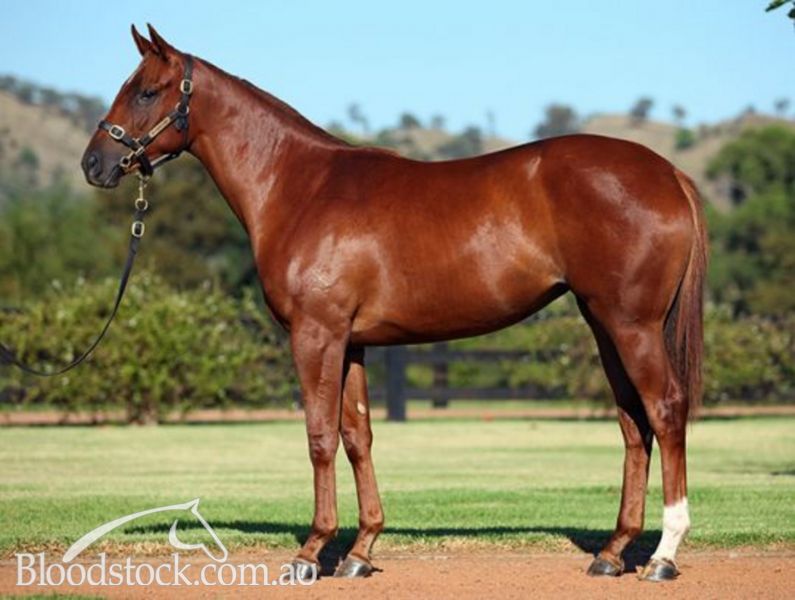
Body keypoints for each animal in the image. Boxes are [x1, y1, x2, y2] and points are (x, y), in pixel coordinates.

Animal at [81, 24, 706, 582]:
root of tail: (668, 173)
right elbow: (358, 438)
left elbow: (319, 437)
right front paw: (360, 551)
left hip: (631, 325)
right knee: (633, 423)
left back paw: (662, 555)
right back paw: (613, 552)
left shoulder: (315, 335)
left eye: (146, 91)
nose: (93, 164)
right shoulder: (352, 343)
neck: (299, 187)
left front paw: (311, 553)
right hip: (604, 325)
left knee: (665, 409)